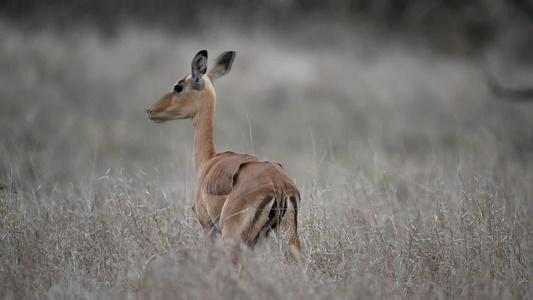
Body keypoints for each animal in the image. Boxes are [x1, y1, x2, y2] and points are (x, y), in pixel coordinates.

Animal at [148, 50, 302, 266]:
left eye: (178, 86)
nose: (151, 111)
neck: (209, 161)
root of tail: (278, 185)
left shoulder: (207, 226)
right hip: (287, 240)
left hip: (233, 239)